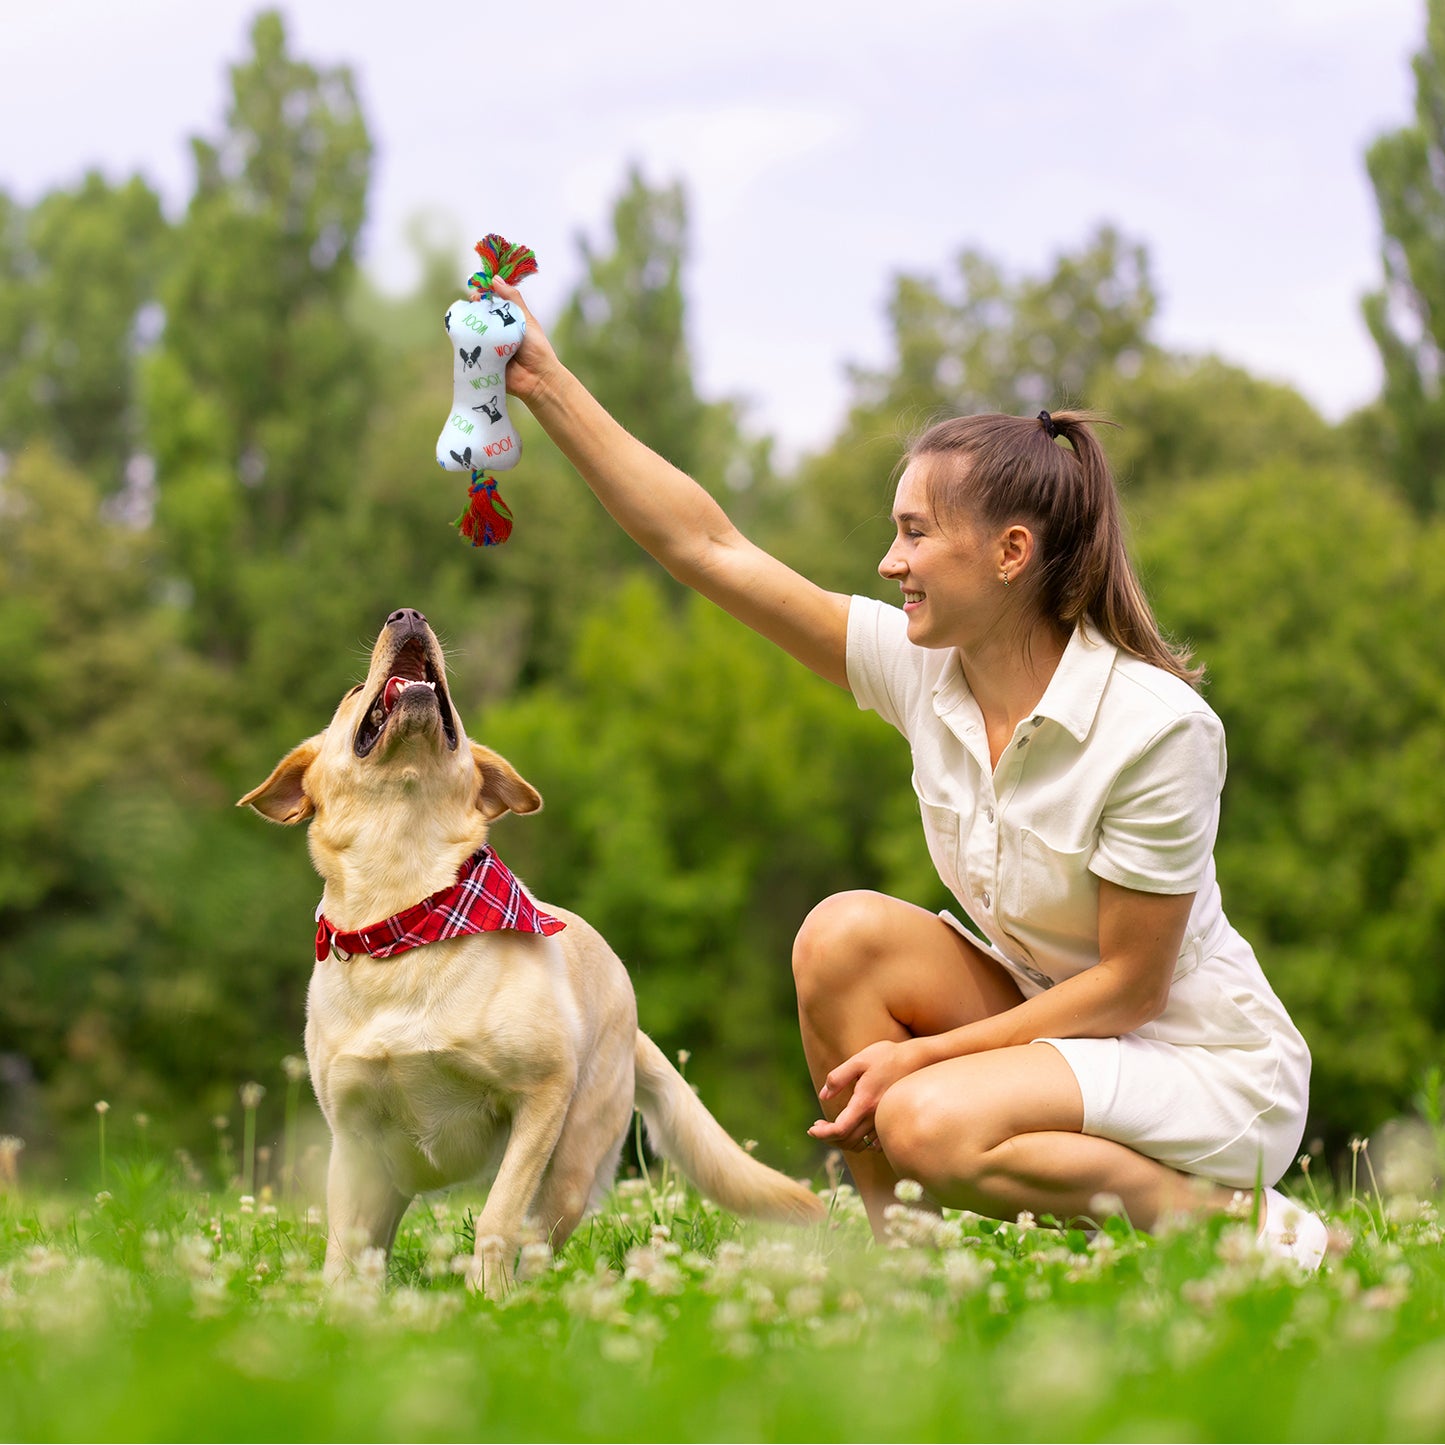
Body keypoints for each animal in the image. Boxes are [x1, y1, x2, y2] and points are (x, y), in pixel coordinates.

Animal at [239, 604, 826, 1294]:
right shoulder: (354, 1140)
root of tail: (632, 1026)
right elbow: (343, 1246)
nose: (407, 614)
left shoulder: (541, 1096)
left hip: (572, 1164)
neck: (410, 914)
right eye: (355, 692)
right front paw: (334, 1307)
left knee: (538, 1240)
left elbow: (497, 1216)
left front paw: (488, 1299)